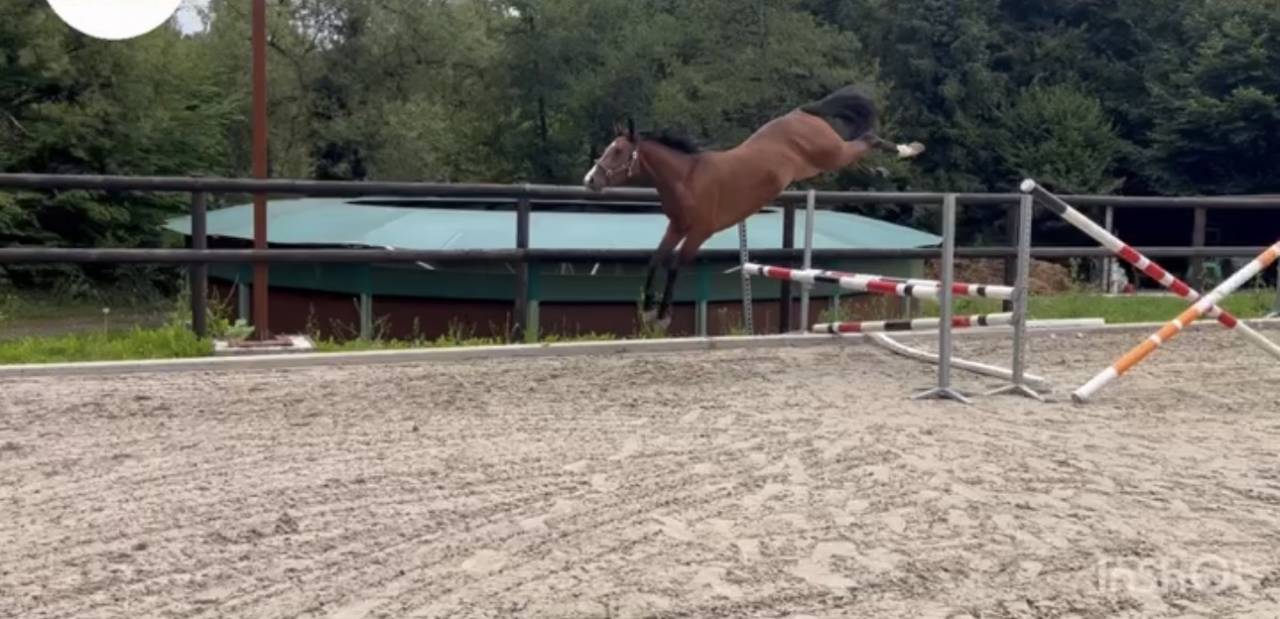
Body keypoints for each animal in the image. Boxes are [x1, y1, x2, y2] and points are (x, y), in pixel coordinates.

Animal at [582, 84, 926, 330]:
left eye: (618, 152)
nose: (590, 180)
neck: (687, 177)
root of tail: (800, 113)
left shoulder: (700, 232)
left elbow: (676, 264)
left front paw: (662, 315)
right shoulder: (676, 227)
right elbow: (656, 259)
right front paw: (647, 308)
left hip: (830, 154)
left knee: (866, 139)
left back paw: (908, 150)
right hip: (825, 160)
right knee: (862, 148)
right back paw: (886, 166)